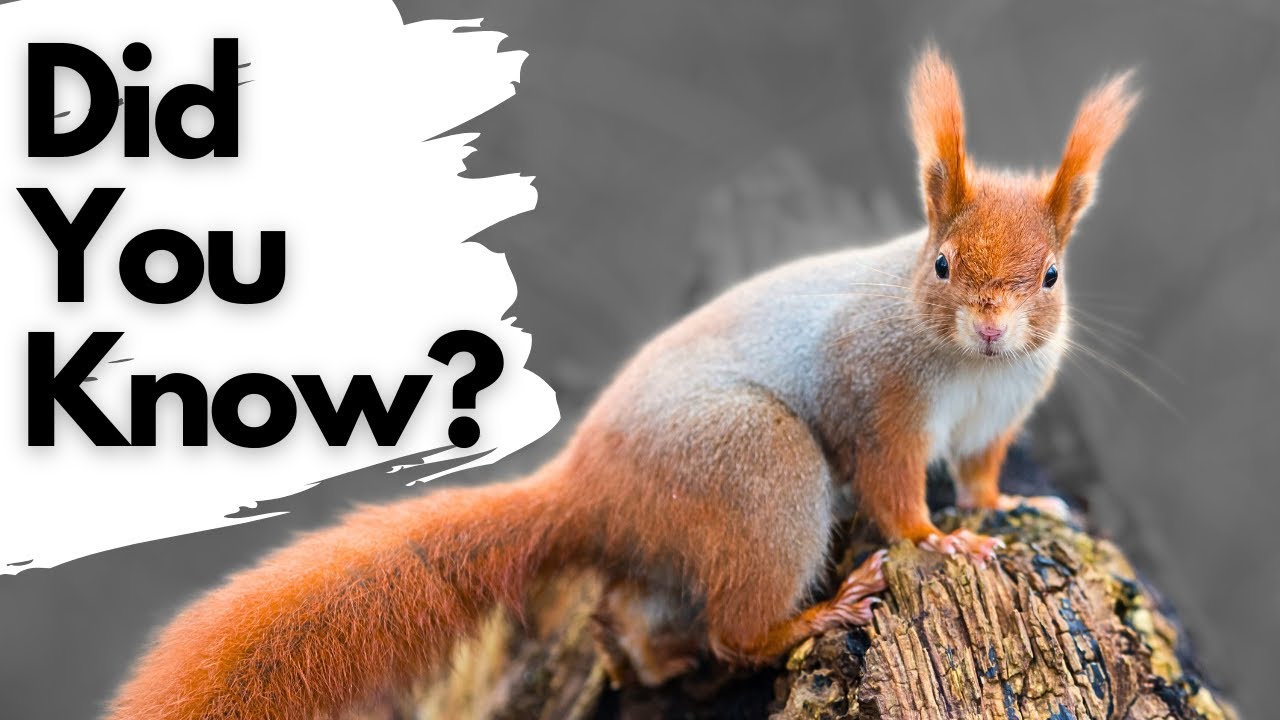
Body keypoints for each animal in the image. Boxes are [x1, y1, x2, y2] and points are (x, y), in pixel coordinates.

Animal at [107, 47, 1138, 720]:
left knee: (649, 631)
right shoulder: (875, 396)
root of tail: (589, 488)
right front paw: (940, 540)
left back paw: (670, 655)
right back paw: (816, 615)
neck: (970, 368)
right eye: (943, 265)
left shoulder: (997, 418)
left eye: (1051, 275)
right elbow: (894, 486)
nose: (994, 323)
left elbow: (985, 471)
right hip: (756, 471)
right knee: (737, 627)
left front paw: (1009, 506)